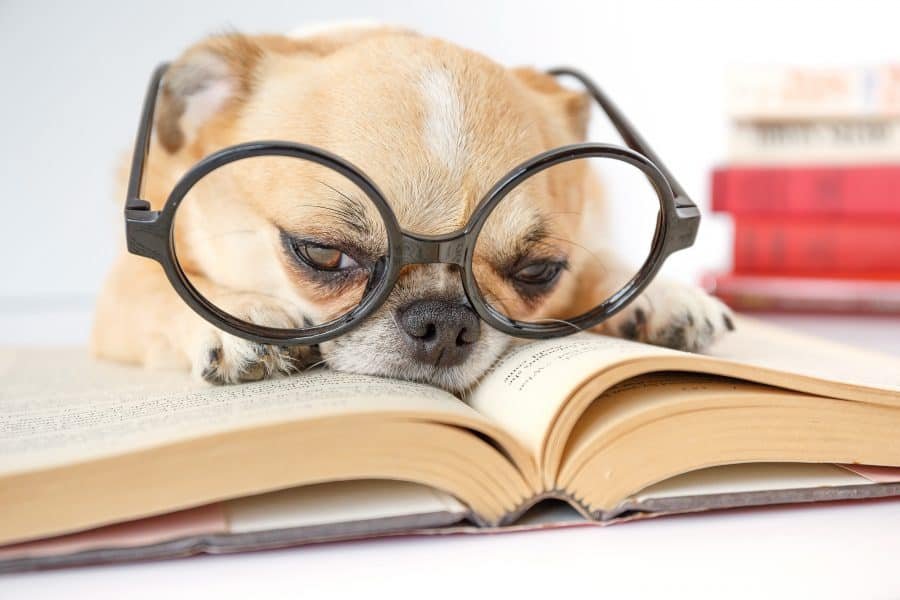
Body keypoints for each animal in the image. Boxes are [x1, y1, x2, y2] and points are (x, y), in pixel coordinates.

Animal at [91, 23, 736, 392]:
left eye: (538, 272)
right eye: (322, 253)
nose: (445, 321)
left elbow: (607, 263)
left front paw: (661, 293)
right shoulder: (120, 299)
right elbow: (157, 291)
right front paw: (242, 312)